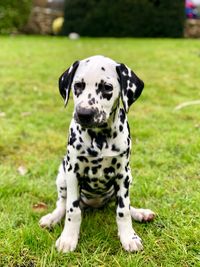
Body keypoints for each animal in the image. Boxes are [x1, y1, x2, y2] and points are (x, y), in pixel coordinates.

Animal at [39, 55, 155, 253]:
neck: (99, 137)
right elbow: (72, 210)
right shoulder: (73, 173)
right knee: (62, 204)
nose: (84, 113)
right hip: (62, 175)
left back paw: (141, 213)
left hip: (129, 177)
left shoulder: (123, 175)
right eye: (78, 85)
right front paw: (68, 238)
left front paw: (128, 237)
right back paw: (51, 218)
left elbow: (123, 210)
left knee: (121, 204)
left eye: (107, 87)